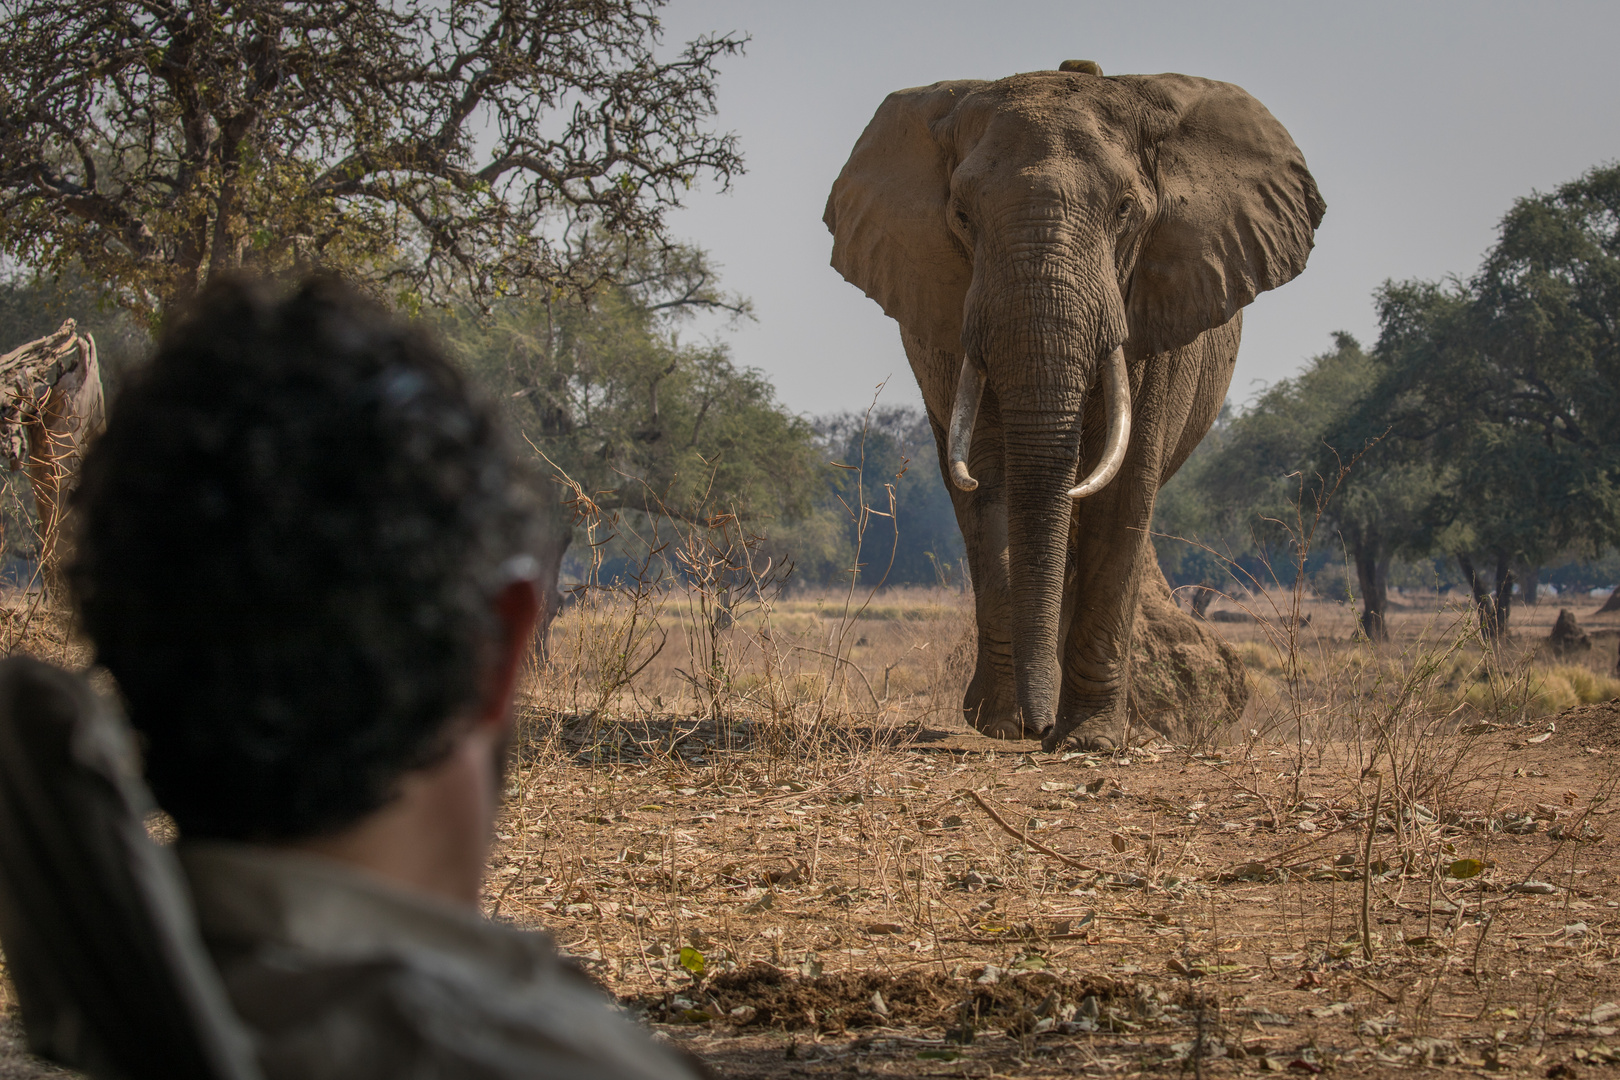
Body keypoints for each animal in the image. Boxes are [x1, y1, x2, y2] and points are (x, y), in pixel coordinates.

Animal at [829, 59, 1321, 751]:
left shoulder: (1156, 302)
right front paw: (1004, 724)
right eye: (961, 215)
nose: (1038, 730)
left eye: (1126, 211)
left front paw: (1089, 738)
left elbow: (1125, 488)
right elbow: (993, 482)